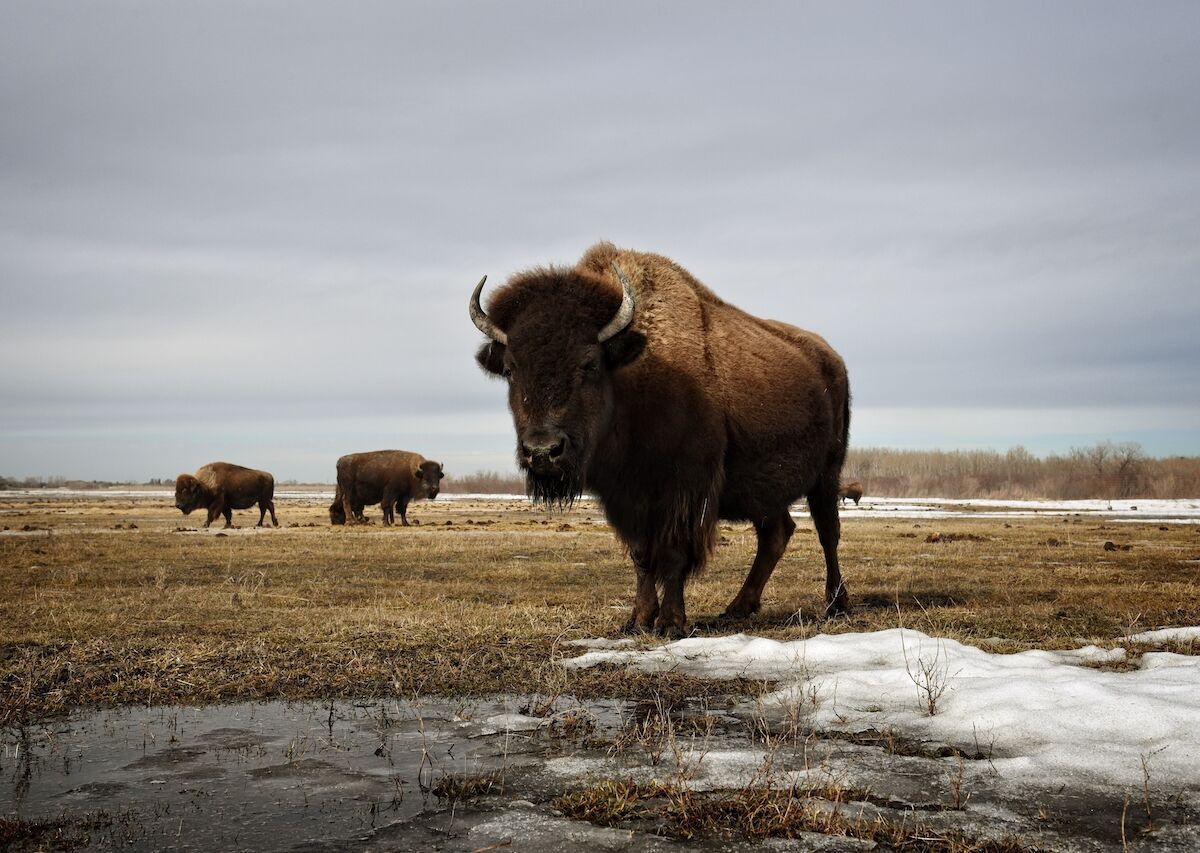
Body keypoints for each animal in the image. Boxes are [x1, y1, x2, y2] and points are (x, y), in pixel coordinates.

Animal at [468, 239, 854, 633]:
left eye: (590, 363)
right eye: (511, 369)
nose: (543, 451)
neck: (634, 375)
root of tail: (832, 360)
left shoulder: (683, 490)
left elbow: (672, 554)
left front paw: (670, 622)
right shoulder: (625, 497)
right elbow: (641, 555)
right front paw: (638, 619)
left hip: (827, 474)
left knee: (827, 532)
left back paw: (835, 604)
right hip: (766, 490)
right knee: (776, 533)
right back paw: (738, 607)